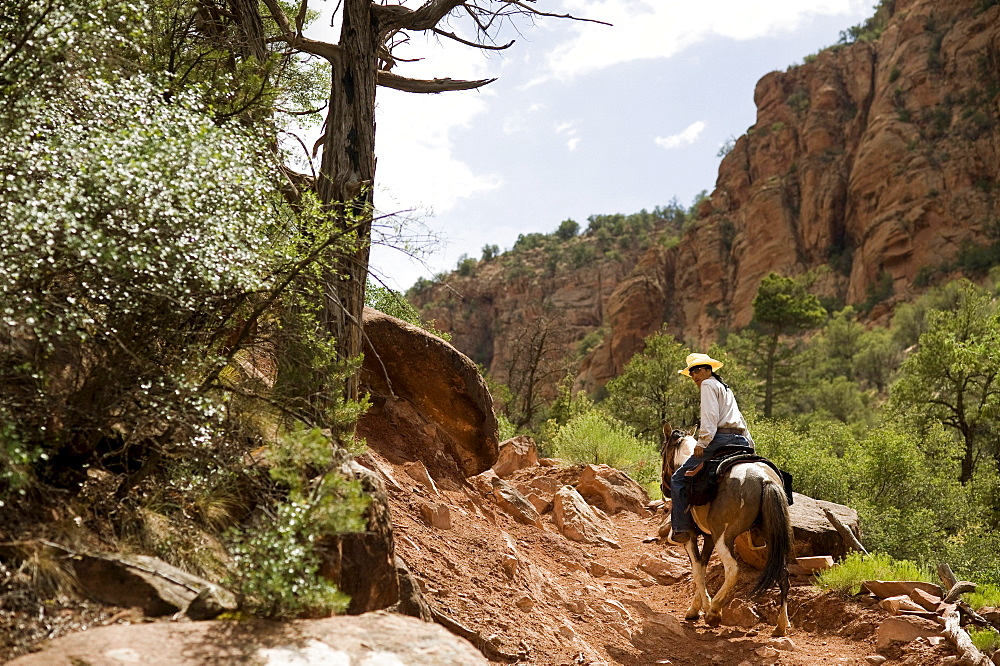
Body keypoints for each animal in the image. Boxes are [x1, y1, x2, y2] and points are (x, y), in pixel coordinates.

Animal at [660, 422, 792, 636]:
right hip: (771, 538)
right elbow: (702, 566)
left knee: (732, 570)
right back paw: (781, 625)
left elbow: (697, 570)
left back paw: (714, 611)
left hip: (724, 538)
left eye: (662, 451)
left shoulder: (691, 536)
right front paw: (695, 608)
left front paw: (705, 608)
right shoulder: (709, 536)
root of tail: (765, 480)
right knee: (783, 573)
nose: (664, 488)